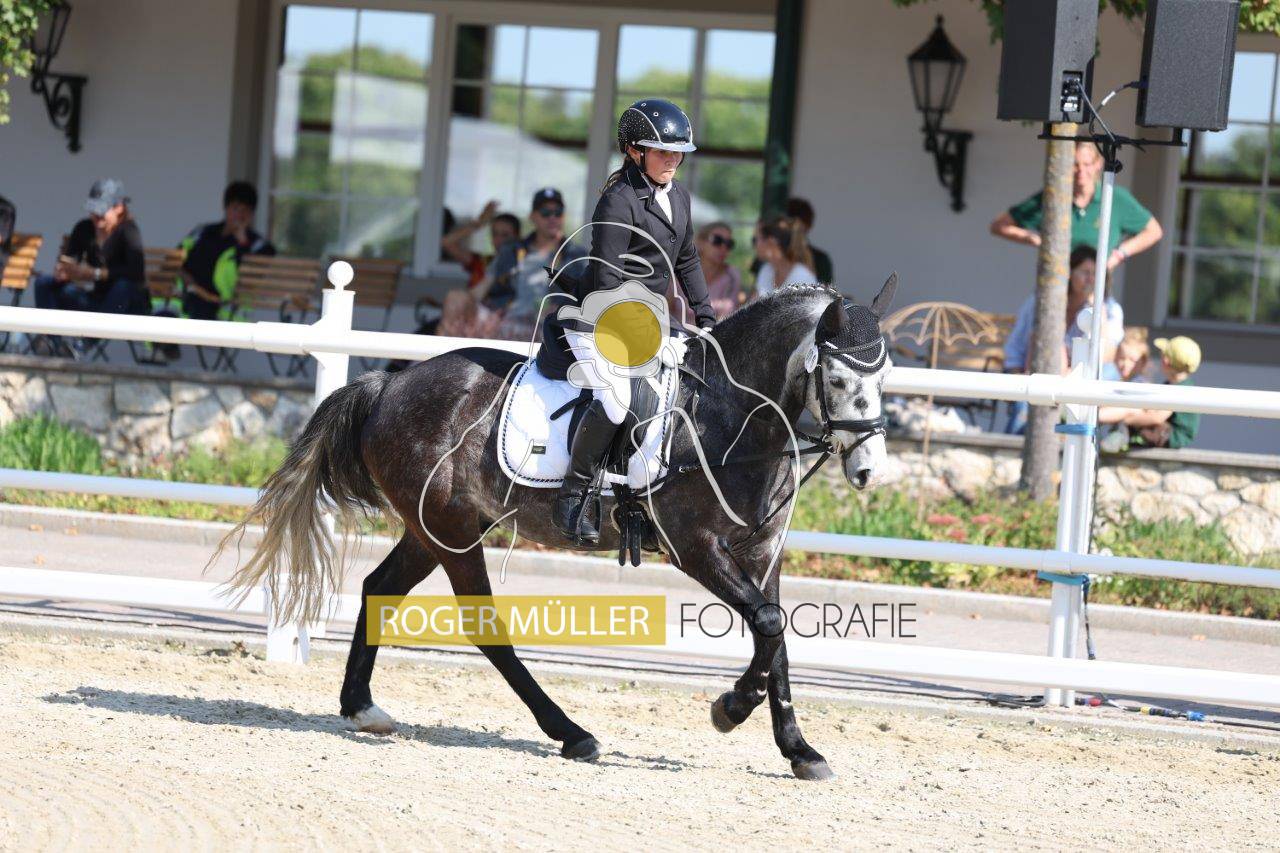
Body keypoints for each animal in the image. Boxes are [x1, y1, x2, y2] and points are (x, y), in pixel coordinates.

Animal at [219, 276, 898, 781]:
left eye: (884, 378)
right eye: (838, 379)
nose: (868, 469)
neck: (731, 417)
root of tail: (390, 381)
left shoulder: (762, 553)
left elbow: (775, 636)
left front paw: (800, 750)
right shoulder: (696, 549)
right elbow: (767, 624)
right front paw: (729, 710)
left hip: (431, 530)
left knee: (379, 589)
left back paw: (361, 708)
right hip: (453, 531)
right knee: (484, 627)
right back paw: (571, 734)